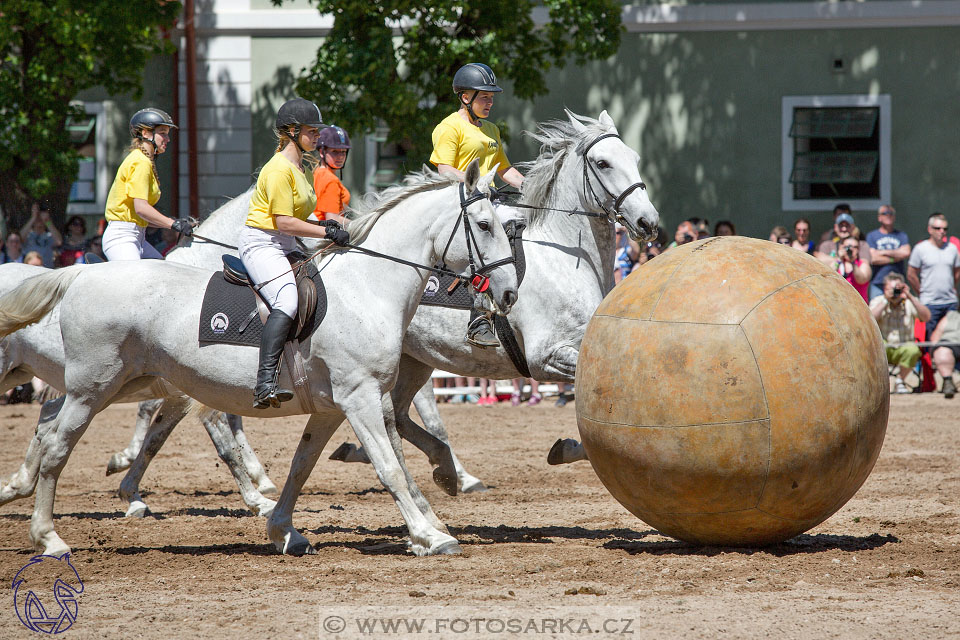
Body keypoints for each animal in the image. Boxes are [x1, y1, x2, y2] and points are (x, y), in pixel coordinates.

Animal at [0, 162, 516, 556]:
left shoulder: (332, 407)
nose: (509, 293)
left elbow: (302, 466)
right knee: (56, 448)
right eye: (485, 225)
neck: (367, 286)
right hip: (92, 389)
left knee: (56, 433)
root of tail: (79, 275)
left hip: (115, 385)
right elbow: (388, 467)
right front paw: (431, 535)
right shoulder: (361, 397)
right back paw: (48, 538)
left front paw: (283, 530)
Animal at [330, 111, 660, 490]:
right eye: (603, 163)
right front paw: (570, 449)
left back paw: (446, 470)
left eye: (634, 158)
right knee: (390, 416)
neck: (564, 259)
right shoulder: (545, 356)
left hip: (415, 359)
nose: (648, 222)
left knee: (396, 416)